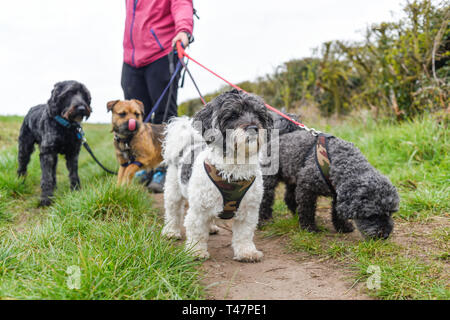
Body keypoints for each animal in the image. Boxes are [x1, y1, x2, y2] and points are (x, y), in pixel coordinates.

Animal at [163, 89, 272, 262]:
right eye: (233, 115)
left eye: (258, 115)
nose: (253, 127)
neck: (233, 171)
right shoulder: (199, 209)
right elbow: (197, 231)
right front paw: (196, 251)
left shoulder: (249, 210)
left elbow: (244, 234)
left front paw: (246, 252)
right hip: (173, 191)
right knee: (173, 212)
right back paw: (171, 231)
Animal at [260, 114, 400, 239]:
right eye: (372, 215)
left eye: (390, 213)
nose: (385, 235)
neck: (343, 162)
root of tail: (279, 136)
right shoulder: (307, 187)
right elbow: (307, 210)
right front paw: (309, 228)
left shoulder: (338, 193)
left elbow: (337, 212)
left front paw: (343, 227)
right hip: (270, 179)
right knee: (266, 198)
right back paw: (264, 219)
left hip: (293, 177)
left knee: (289, 197)